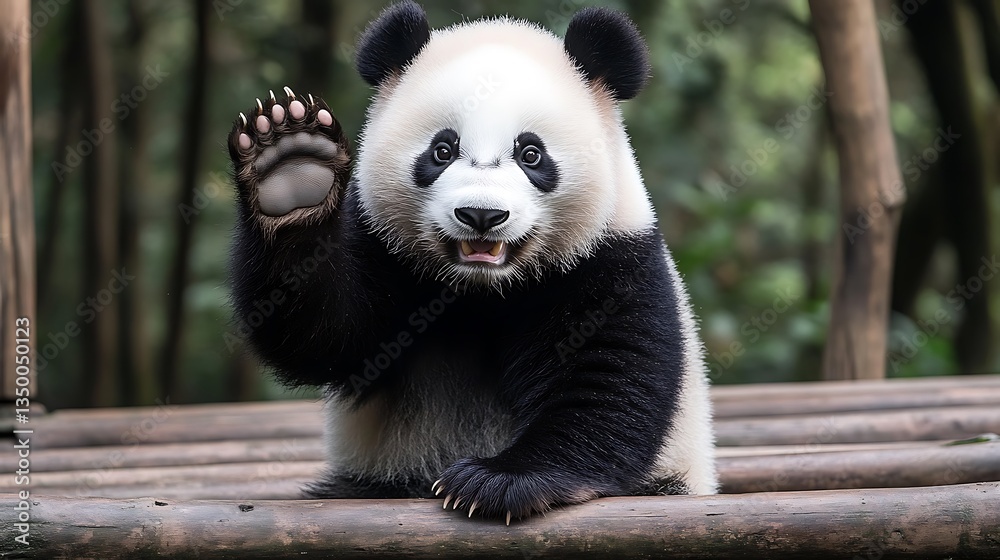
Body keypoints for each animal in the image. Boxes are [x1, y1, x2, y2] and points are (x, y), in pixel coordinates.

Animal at [227, 1, 718, 523]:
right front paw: (292, 169)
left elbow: (607, 378)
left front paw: (496, 482)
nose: (482, 215)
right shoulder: (384, 250)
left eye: (531, 153)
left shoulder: (611, 256)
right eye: (442, 150)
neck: (482, 289)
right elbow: (327, 331)